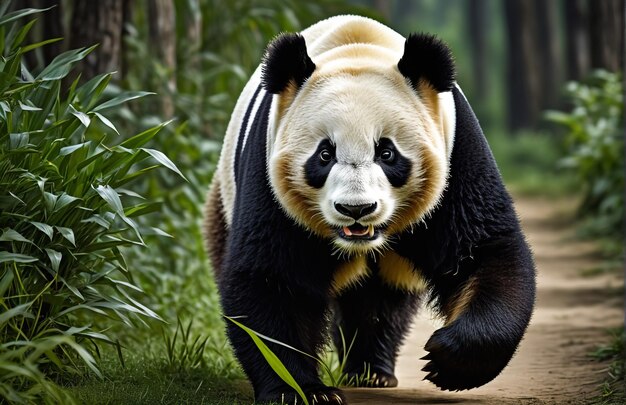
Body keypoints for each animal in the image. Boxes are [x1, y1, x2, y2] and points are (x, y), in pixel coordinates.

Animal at [204, 15, 532, 404]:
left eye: (387, 152)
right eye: (324, 154)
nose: (355, 208)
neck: (358, 49)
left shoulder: (456, 156)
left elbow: (484, 252)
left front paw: (448, 361)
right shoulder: (267, 175)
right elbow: (272, 278)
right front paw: (301, 391)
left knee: (383, 299)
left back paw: (371, 370)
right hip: (224, 197)